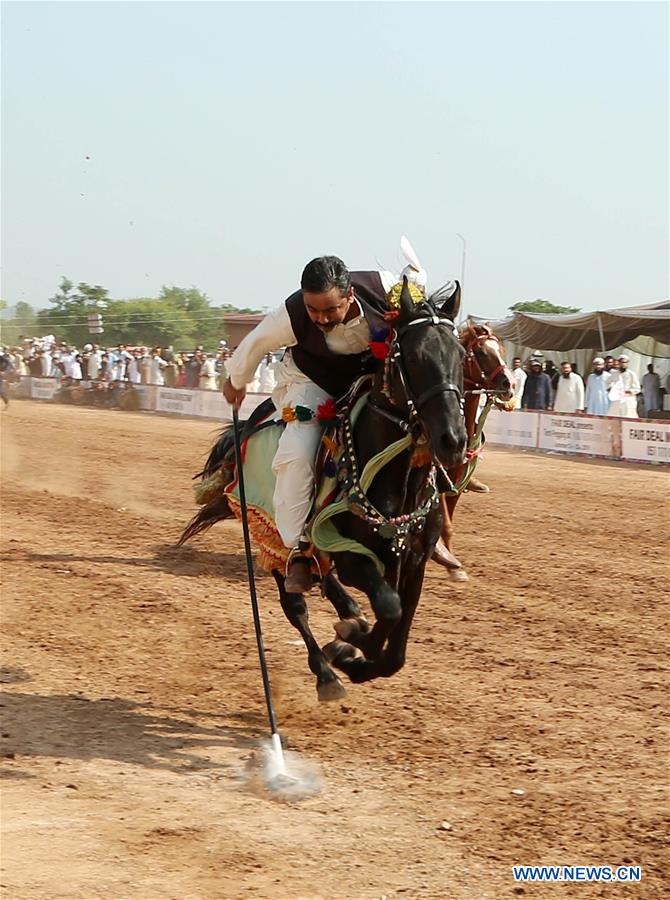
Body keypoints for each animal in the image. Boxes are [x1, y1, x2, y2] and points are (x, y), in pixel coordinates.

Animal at [181, 278, 470, 700]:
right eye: (413, 357)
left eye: (460, 354)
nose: (453, 440)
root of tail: (247, 426)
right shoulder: (353, 558)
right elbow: (389, 608)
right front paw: (349, 649)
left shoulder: (415, 558)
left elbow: (395, 648)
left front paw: (356, 650)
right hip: (274, 539)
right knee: (295, 603)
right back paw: (326, 671)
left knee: (321, 576)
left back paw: (347, 613)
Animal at [434, 320, 516, 580]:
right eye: (481, 353)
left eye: (501, 350)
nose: (510, 384)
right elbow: (445, 523)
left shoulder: (457, 484)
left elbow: (448, 524)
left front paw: (452, 564)